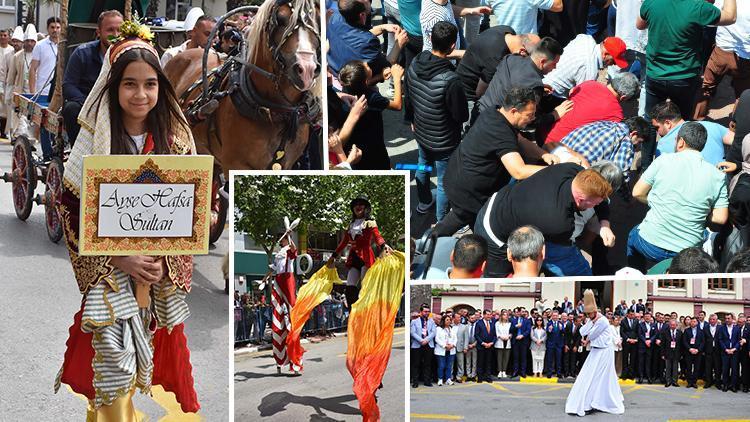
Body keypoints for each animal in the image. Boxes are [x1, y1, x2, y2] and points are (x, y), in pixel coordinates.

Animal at [166, 0, 322, 173]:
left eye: (318, 21)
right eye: (280, 18)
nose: (306, 69)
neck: (280, 113)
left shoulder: (286, 165)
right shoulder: (234, 164)